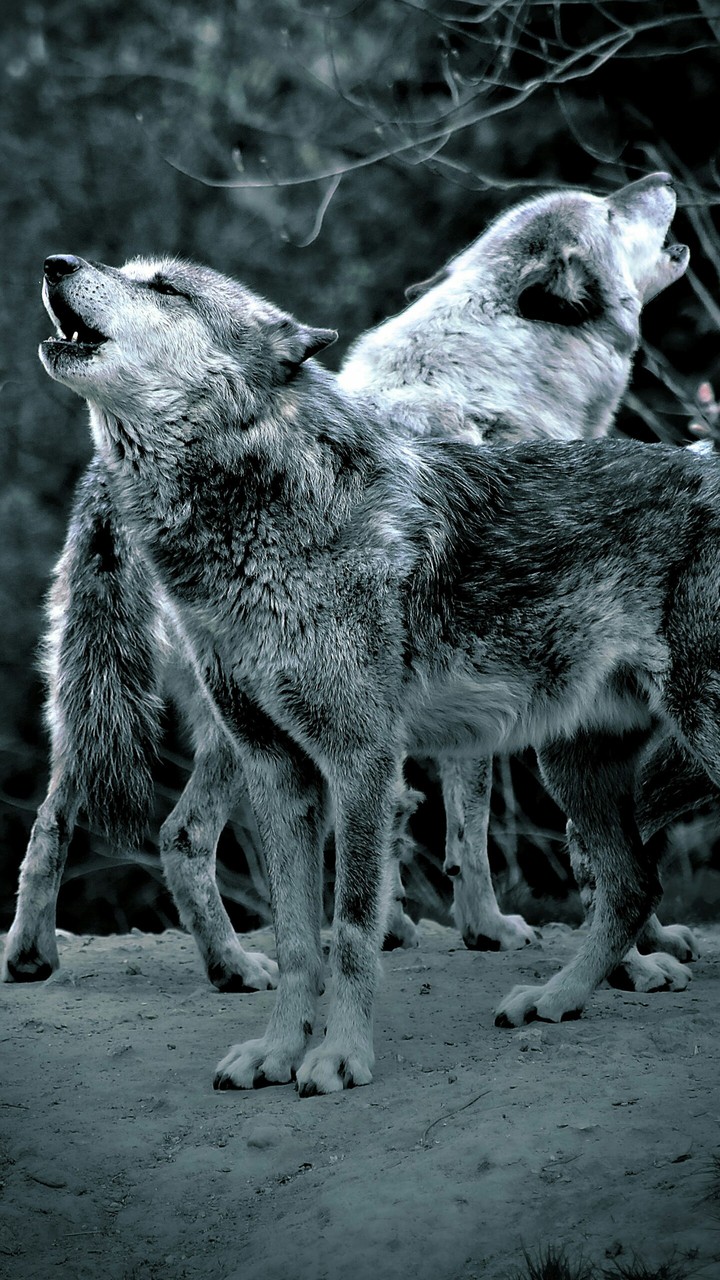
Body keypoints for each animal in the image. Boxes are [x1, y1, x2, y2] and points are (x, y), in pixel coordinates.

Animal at [26, 250, 720, 1094]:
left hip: (675, 744)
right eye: (129, 271)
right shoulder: (279, 772)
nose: (57, 262)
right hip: (573, 762)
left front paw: (339, 1057)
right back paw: (555, 999)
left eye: (165, 287)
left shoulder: (361, 762)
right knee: (631, 883)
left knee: (625, 878)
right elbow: (300, 939)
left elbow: (353, 927)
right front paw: (277, 1051)